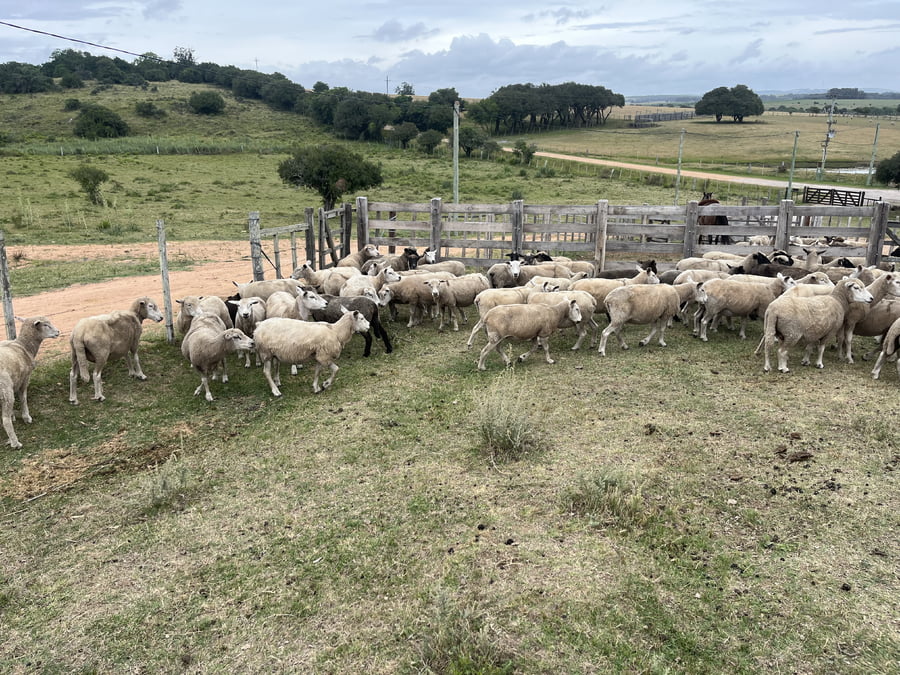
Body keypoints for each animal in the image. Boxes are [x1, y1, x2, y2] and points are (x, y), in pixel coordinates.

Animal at [0, 316, 60, 448]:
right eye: (46, 325)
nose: (58, 332)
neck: (24, 346)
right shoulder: (24, 379)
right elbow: (23, 398)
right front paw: (26, 417)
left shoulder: (15, 381)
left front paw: (13, 415)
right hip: (5, 390)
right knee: (5, 420)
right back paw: (15, 443)